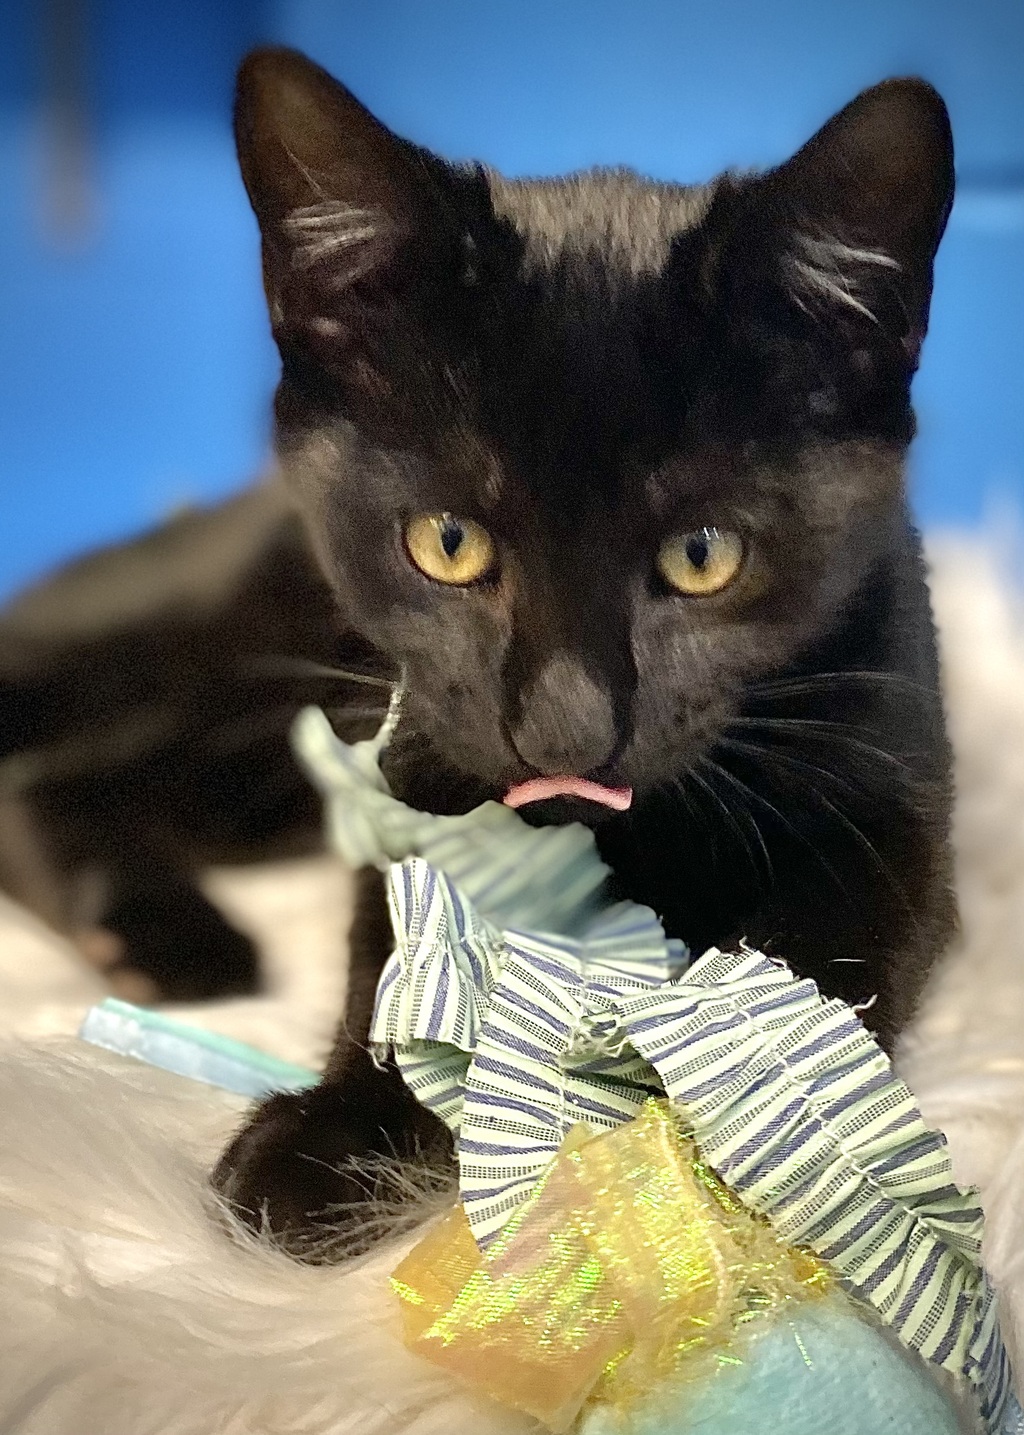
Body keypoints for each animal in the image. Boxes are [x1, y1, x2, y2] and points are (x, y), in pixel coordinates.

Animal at [205, 48, 957, 1255]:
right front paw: (336, 1134)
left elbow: (808, 977)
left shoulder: (893, 805)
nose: (563, 727)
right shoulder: (406, 764)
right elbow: (393, 958)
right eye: (448, 542)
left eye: (703, 554)